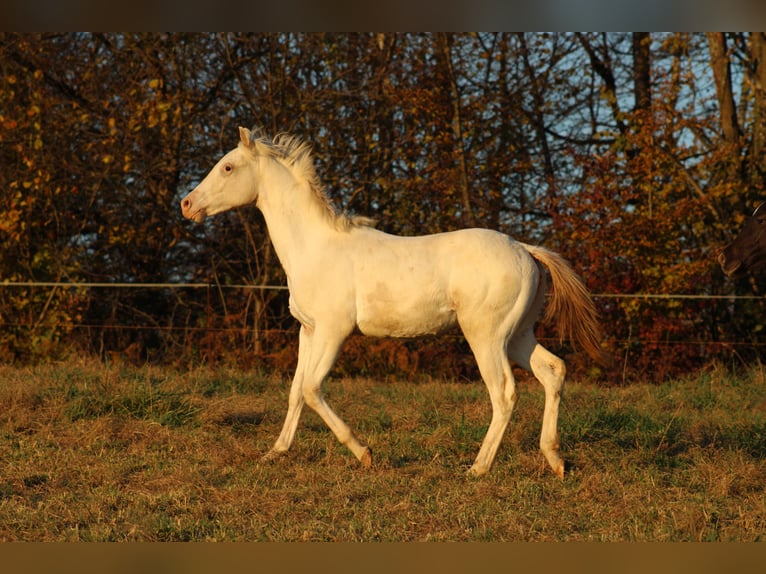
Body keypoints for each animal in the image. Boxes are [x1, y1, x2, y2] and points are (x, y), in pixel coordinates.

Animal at [182, 126, 608, 476]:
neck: (315, 247)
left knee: (504, 392)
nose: (187, 205)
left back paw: (478, 468)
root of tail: (525, 249)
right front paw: (276, 452)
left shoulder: (334, 331)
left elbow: (312, 389)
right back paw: (555, 460)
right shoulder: (309, 330)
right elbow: (296, 391)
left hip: (486, 336)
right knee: (553, 371)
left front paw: (365, 453)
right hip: (518, 335)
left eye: (227, 167)